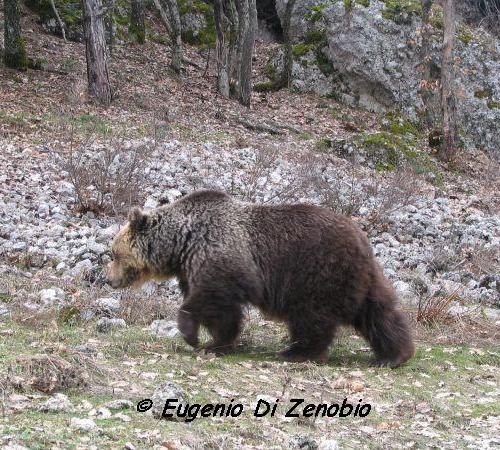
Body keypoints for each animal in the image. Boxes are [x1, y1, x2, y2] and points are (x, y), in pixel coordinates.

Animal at [107, 188, 416, 368]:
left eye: (113, 253)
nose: (109, 279)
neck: (182, 244)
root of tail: (362, 240)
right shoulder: (193, 267)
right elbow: (221, 312)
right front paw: (216, 342)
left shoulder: (221, 258)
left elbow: (210, 299)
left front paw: (195, 337)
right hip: (361, 278)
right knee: (379, 313)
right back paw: (393, 355)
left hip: (314, 273)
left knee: (311, 317)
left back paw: (297, 352)